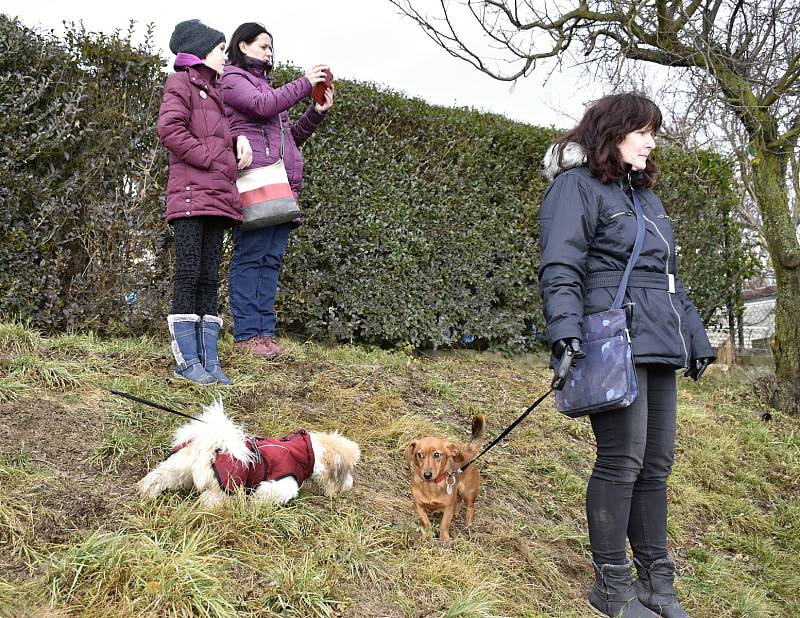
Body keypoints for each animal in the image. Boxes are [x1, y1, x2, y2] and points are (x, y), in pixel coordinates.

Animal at [139, 400, 360, 506]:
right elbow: (265, 496)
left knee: (159, 477)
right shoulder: (280, 484)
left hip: (178, 468)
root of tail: (212, 445)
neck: (303, 451)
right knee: (210, 500)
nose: (350, 484)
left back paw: (146, 493)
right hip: (224, 489)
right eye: (349, 471)